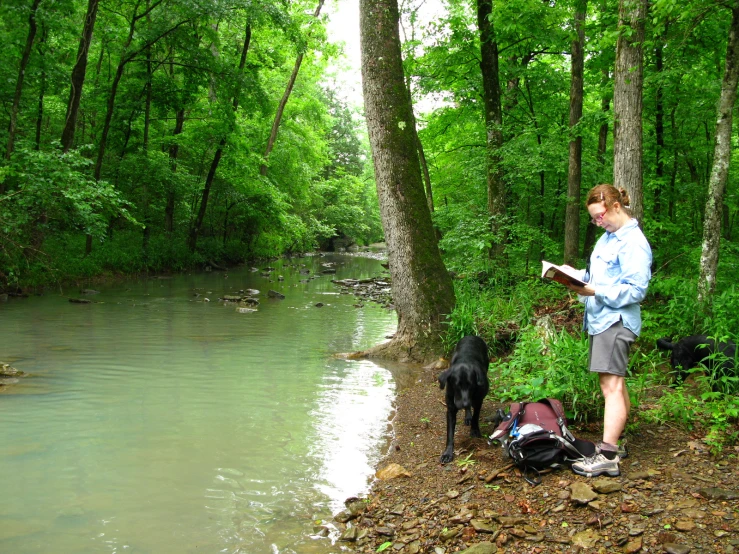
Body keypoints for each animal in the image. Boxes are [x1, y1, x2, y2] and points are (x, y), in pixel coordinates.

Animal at [440, 334, 492, 464]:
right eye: (456, 385)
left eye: (471, 385)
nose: (464, 403)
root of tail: (471, 335)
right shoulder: (451, 409)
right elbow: (450, 434)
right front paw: (448, 453)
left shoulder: (478, 401)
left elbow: (476, 416)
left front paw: (474, 430)